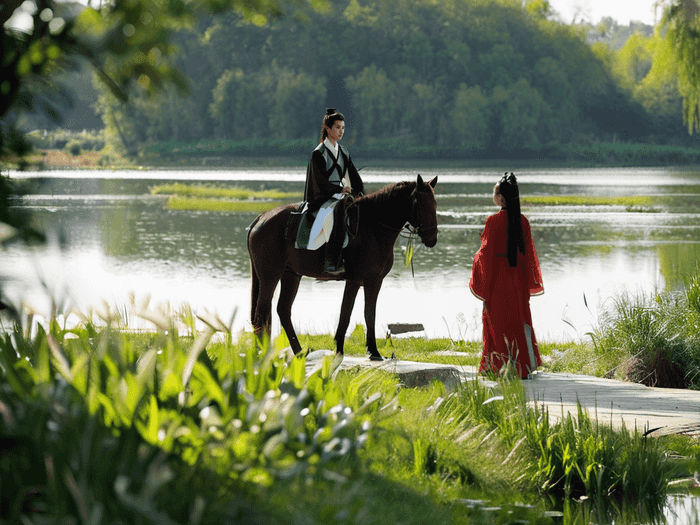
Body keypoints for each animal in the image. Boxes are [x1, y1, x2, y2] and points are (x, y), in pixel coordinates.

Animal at [246, 174, 438, 358]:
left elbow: (369, 314)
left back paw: (299, 352)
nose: (432, 238)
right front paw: (339, 348)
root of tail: (262, 217)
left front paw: (373, 351)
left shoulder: (374, 281)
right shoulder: (354, 280)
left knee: (282, 310)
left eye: (435, 203)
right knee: (261, 314)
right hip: (270, 276)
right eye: (422, 204)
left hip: (291, 275)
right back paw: (262, 356)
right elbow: (346, 314)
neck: (372, 228)